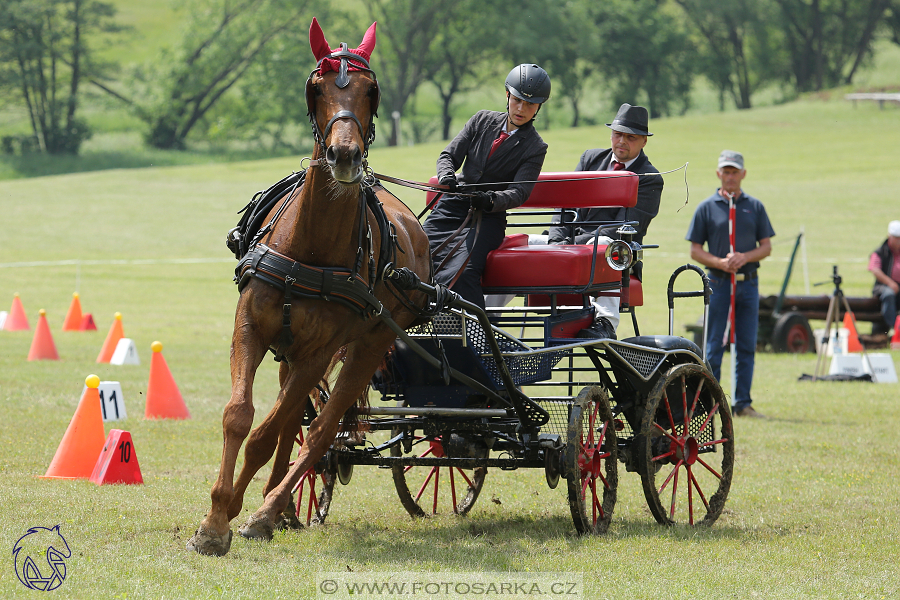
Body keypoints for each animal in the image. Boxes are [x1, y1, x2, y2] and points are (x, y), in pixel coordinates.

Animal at [185, 18, 428, 556]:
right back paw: (277, 511)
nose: (344, 155)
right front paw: (215, 518)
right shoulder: (251, 326)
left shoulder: (320, 351)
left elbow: (268, 432)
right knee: (294, 424)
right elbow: (240, 416)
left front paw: (231, 515)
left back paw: (267, 510)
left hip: (366, 345)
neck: (310, 249)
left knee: (319, 429)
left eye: (371, 90)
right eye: (317, 88)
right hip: (289, 349)